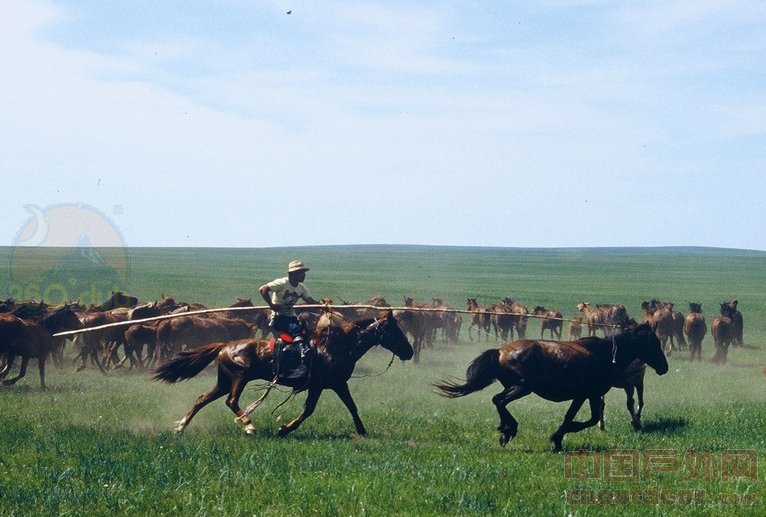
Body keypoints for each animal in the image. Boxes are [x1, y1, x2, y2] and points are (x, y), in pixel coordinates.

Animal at [152, 310, 414, 436]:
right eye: (395, 330)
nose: (409, 352)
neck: (336, 346)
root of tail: (225, 346)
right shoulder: (320, 386)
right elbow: (309, 410)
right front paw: (285, 429)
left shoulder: (338, 384)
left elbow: (352, 407)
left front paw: (362, 431)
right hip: (238, 379)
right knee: (232, 401)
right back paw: (249, 426)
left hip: (224, 381)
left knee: (202, 399)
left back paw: (181, 427)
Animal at [436, 324, 668, 450]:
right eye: (654, 343)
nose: (664, 367)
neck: (604, 355)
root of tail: (501, 351)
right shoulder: (586, 394)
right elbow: (582, 419)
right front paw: (556, 437)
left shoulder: (589, 395)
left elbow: (586, 418)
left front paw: (558, 438)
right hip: (522, 387)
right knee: (500, 401)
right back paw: (509, 430)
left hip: (515, 386)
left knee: (497, 400)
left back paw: (505, 430)